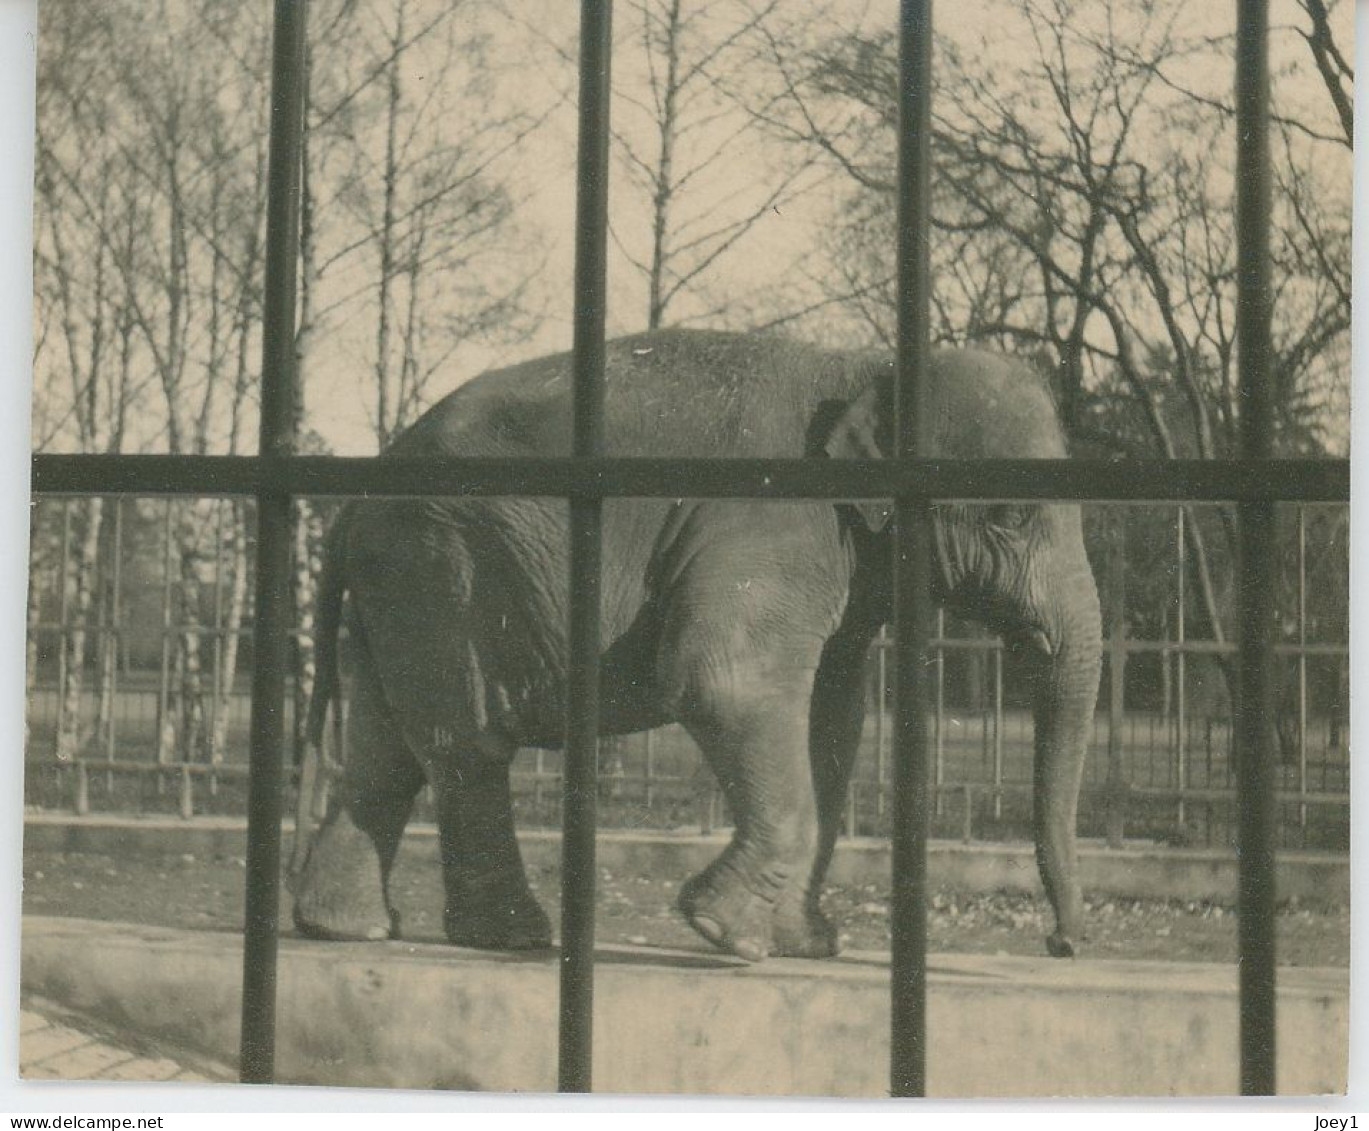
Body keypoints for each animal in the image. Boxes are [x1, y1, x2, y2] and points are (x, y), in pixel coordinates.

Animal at [288, 328, 1100, 958]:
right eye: (1011, 516)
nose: (1062, 941)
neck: (864, 367)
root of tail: (352, 505)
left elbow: (831, 721)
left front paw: (806, 945)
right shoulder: (770, 522)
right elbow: (723, 679)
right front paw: (723, 933)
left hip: (401, 589)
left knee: (390, 746)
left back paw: (346, 929)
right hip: (446, 568)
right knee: (467, 744)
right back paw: (512, 936)